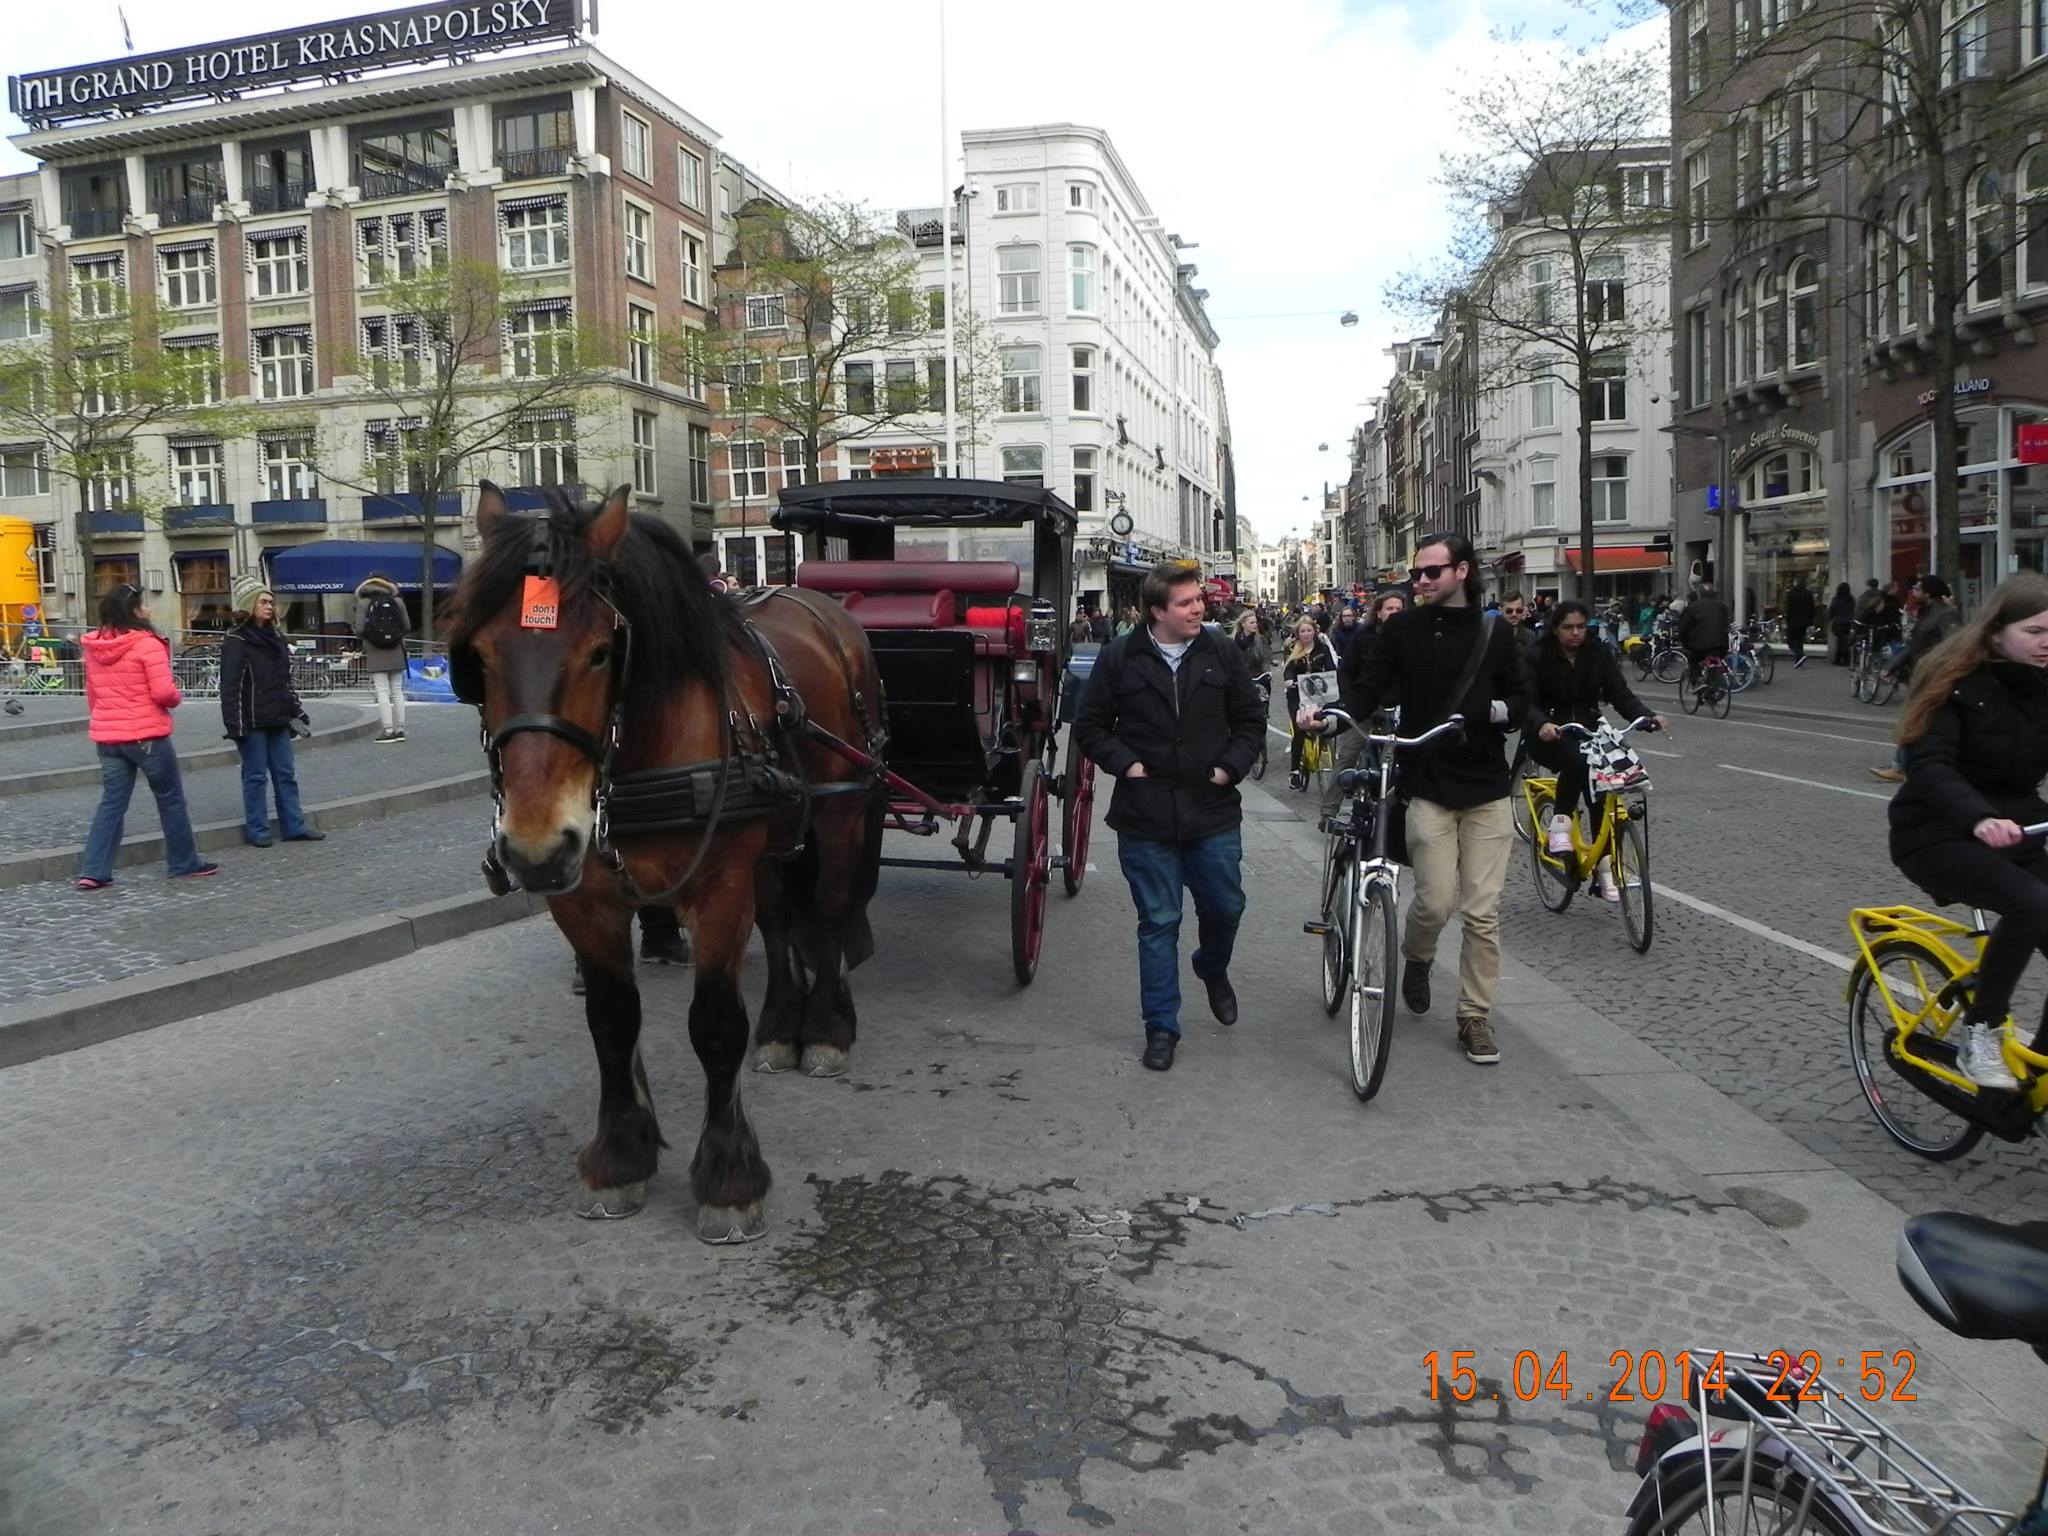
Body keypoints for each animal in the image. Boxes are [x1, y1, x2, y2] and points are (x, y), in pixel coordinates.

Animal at [446, 482, 888, 1243]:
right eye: (477, 656)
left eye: (601, 652)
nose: (534, 848)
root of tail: (824, 606)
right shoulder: (583, 901)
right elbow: (611, 1021)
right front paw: (620, 1155)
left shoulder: (717, 888)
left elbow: (714, 1025)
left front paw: (729, 1176)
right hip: (771, 843)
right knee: (781, 921)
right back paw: (783, 1028)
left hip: (839, 815)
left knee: (829, 915)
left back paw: (827, 1030)